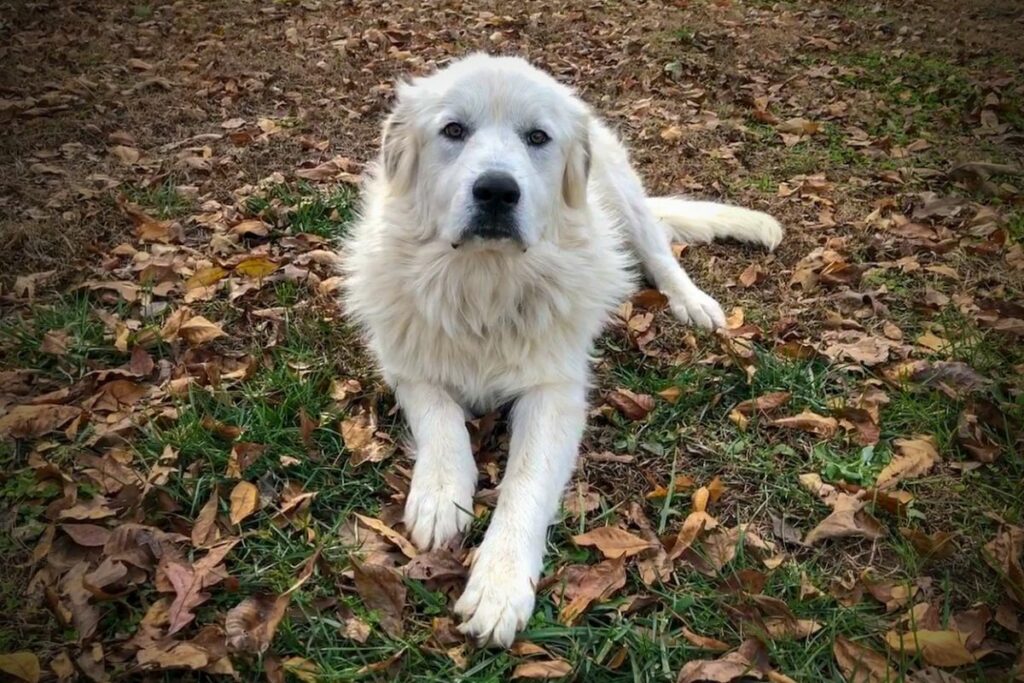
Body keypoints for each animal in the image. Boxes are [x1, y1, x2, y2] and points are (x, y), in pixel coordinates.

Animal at [339, 52, 778, 647]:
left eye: (537, 137)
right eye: (453, 131)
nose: (496, 191)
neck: (484, 283)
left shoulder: (554, 393)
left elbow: (524, 484)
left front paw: (499, 585)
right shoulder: (407, 363)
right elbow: (440, 419)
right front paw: (439, 493)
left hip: (625, 199)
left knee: (660, 255)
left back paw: (693, 302)